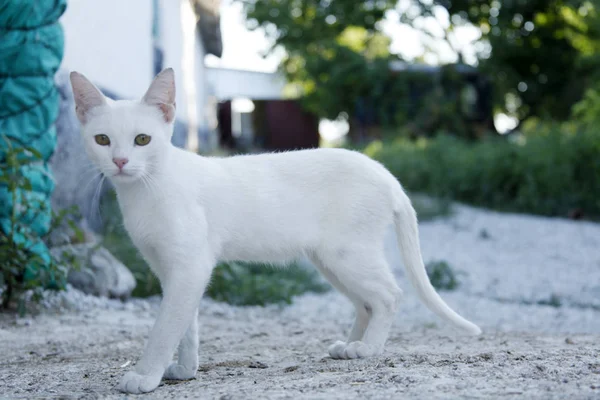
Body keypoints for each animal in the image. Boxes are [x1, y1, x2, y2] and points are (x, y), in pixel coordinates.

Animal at [70, 68, 480, 394]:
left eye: (143, 140)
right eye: (102, 140)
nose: (120, 162)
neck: (144, 190)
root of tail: (386, 174)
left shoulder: (190, 267)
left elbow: (163, 329)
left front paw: (145, 376)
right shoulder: (172, 272)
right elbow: (185, 325)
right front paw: (185, 370)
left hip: (347, 255)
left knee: (389, 296)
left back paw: (368, 349)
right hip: (331, 261)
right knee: (367, 301)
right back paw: (349, 346)